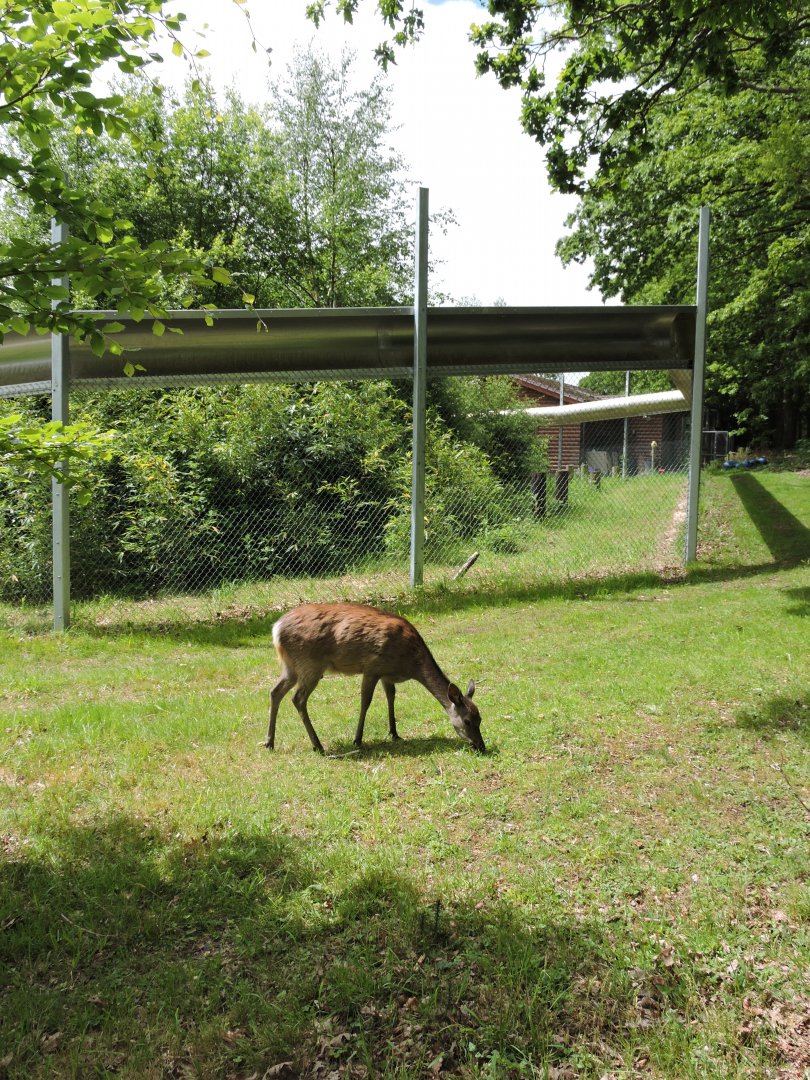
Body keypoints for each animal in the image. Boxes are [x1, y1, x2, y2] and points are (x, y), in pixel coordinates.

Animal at [266, 602, 484, 754]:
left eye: (480, 718)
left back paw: (269, 742)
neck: (410, 663)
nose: (481, 746)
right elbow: (366, 702)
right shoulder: (372, 667)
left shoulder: (387, 675)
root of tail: (276, 629)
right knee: (298, 699)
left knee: (275, 692)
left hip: (291, 667)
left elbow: (391, 697)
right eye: (467, 721)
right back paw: (317, 745)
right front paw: (357, 739)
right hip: (310, 665)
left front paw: (394, 733)